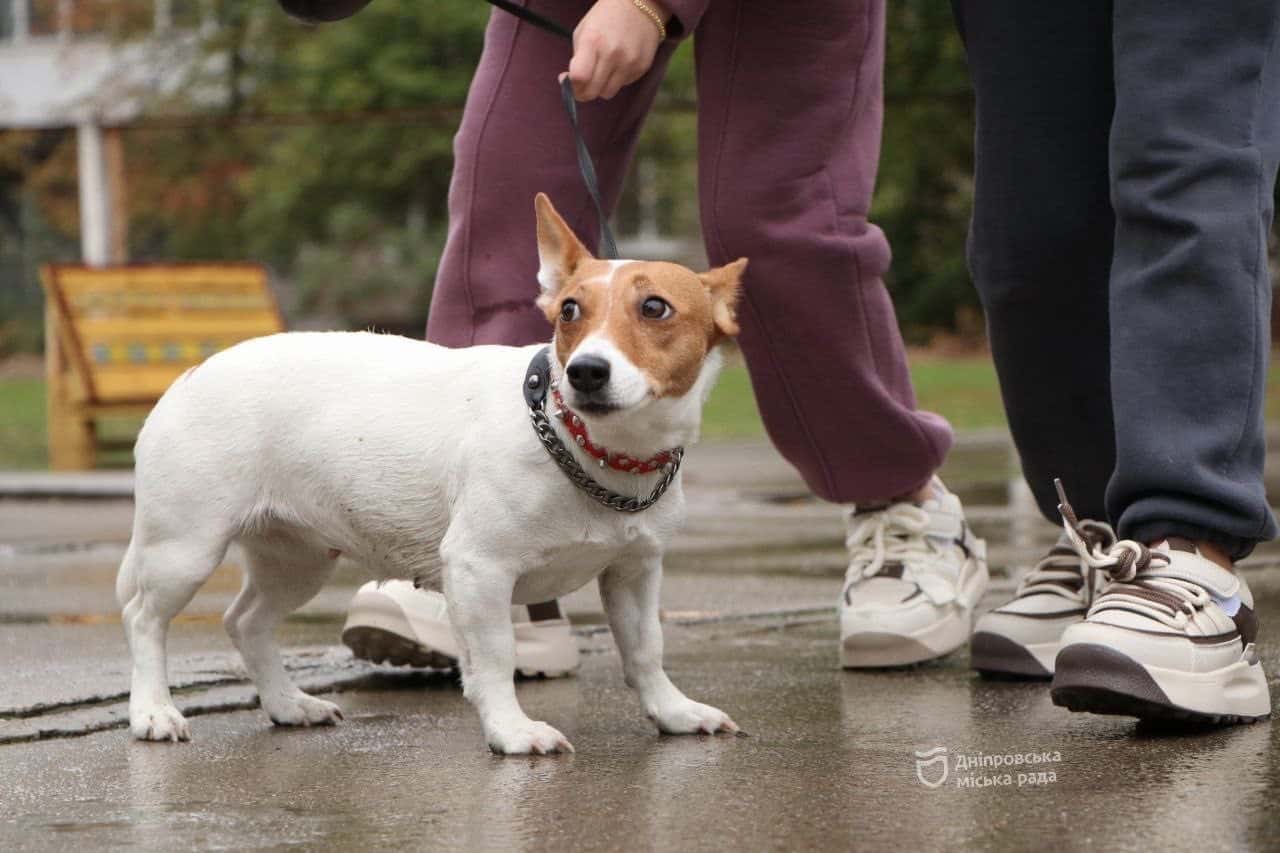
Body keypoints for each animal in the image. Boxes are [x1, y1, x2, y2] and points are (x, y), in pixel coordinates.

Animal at [117, 192, 747, 753]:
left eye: (655, 308)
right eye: (569, 310)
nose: (586, 371)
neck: (589, 444)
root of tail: (193, 373)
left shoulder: (634, 572)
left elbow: (646, 649)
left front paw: (672, 711)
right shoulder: (479, 570)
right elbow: (495, 658)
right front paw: (511, 732)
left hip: (297, 561)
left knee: (247, 622)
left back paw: (286, 704)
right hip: (185, 550)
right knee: (144, 618)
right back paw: (153, 711)